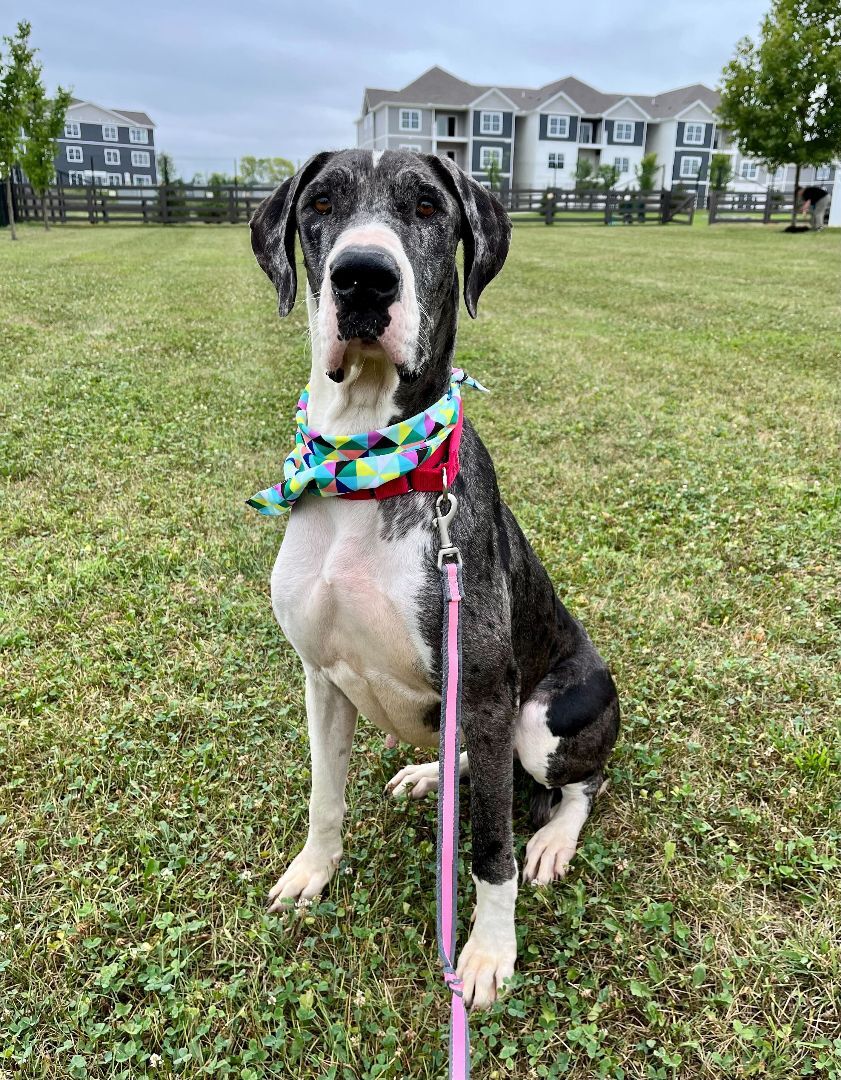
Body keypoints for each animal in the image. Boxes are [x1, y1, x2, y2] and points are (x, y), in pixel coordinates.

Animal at [250, 150, 617, 1010]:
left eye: (426, 207)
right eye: (320, 204)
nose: (363, 278)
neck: (365, 468)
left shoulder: (482, 690)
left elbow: (488, 850)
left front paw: (485, 953)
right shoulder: (321, 677)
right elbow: (324, 796)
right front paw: (312, 871)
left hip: (540, 718)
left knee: (580, 786)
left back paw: (551, 839)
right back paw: (426, 772)